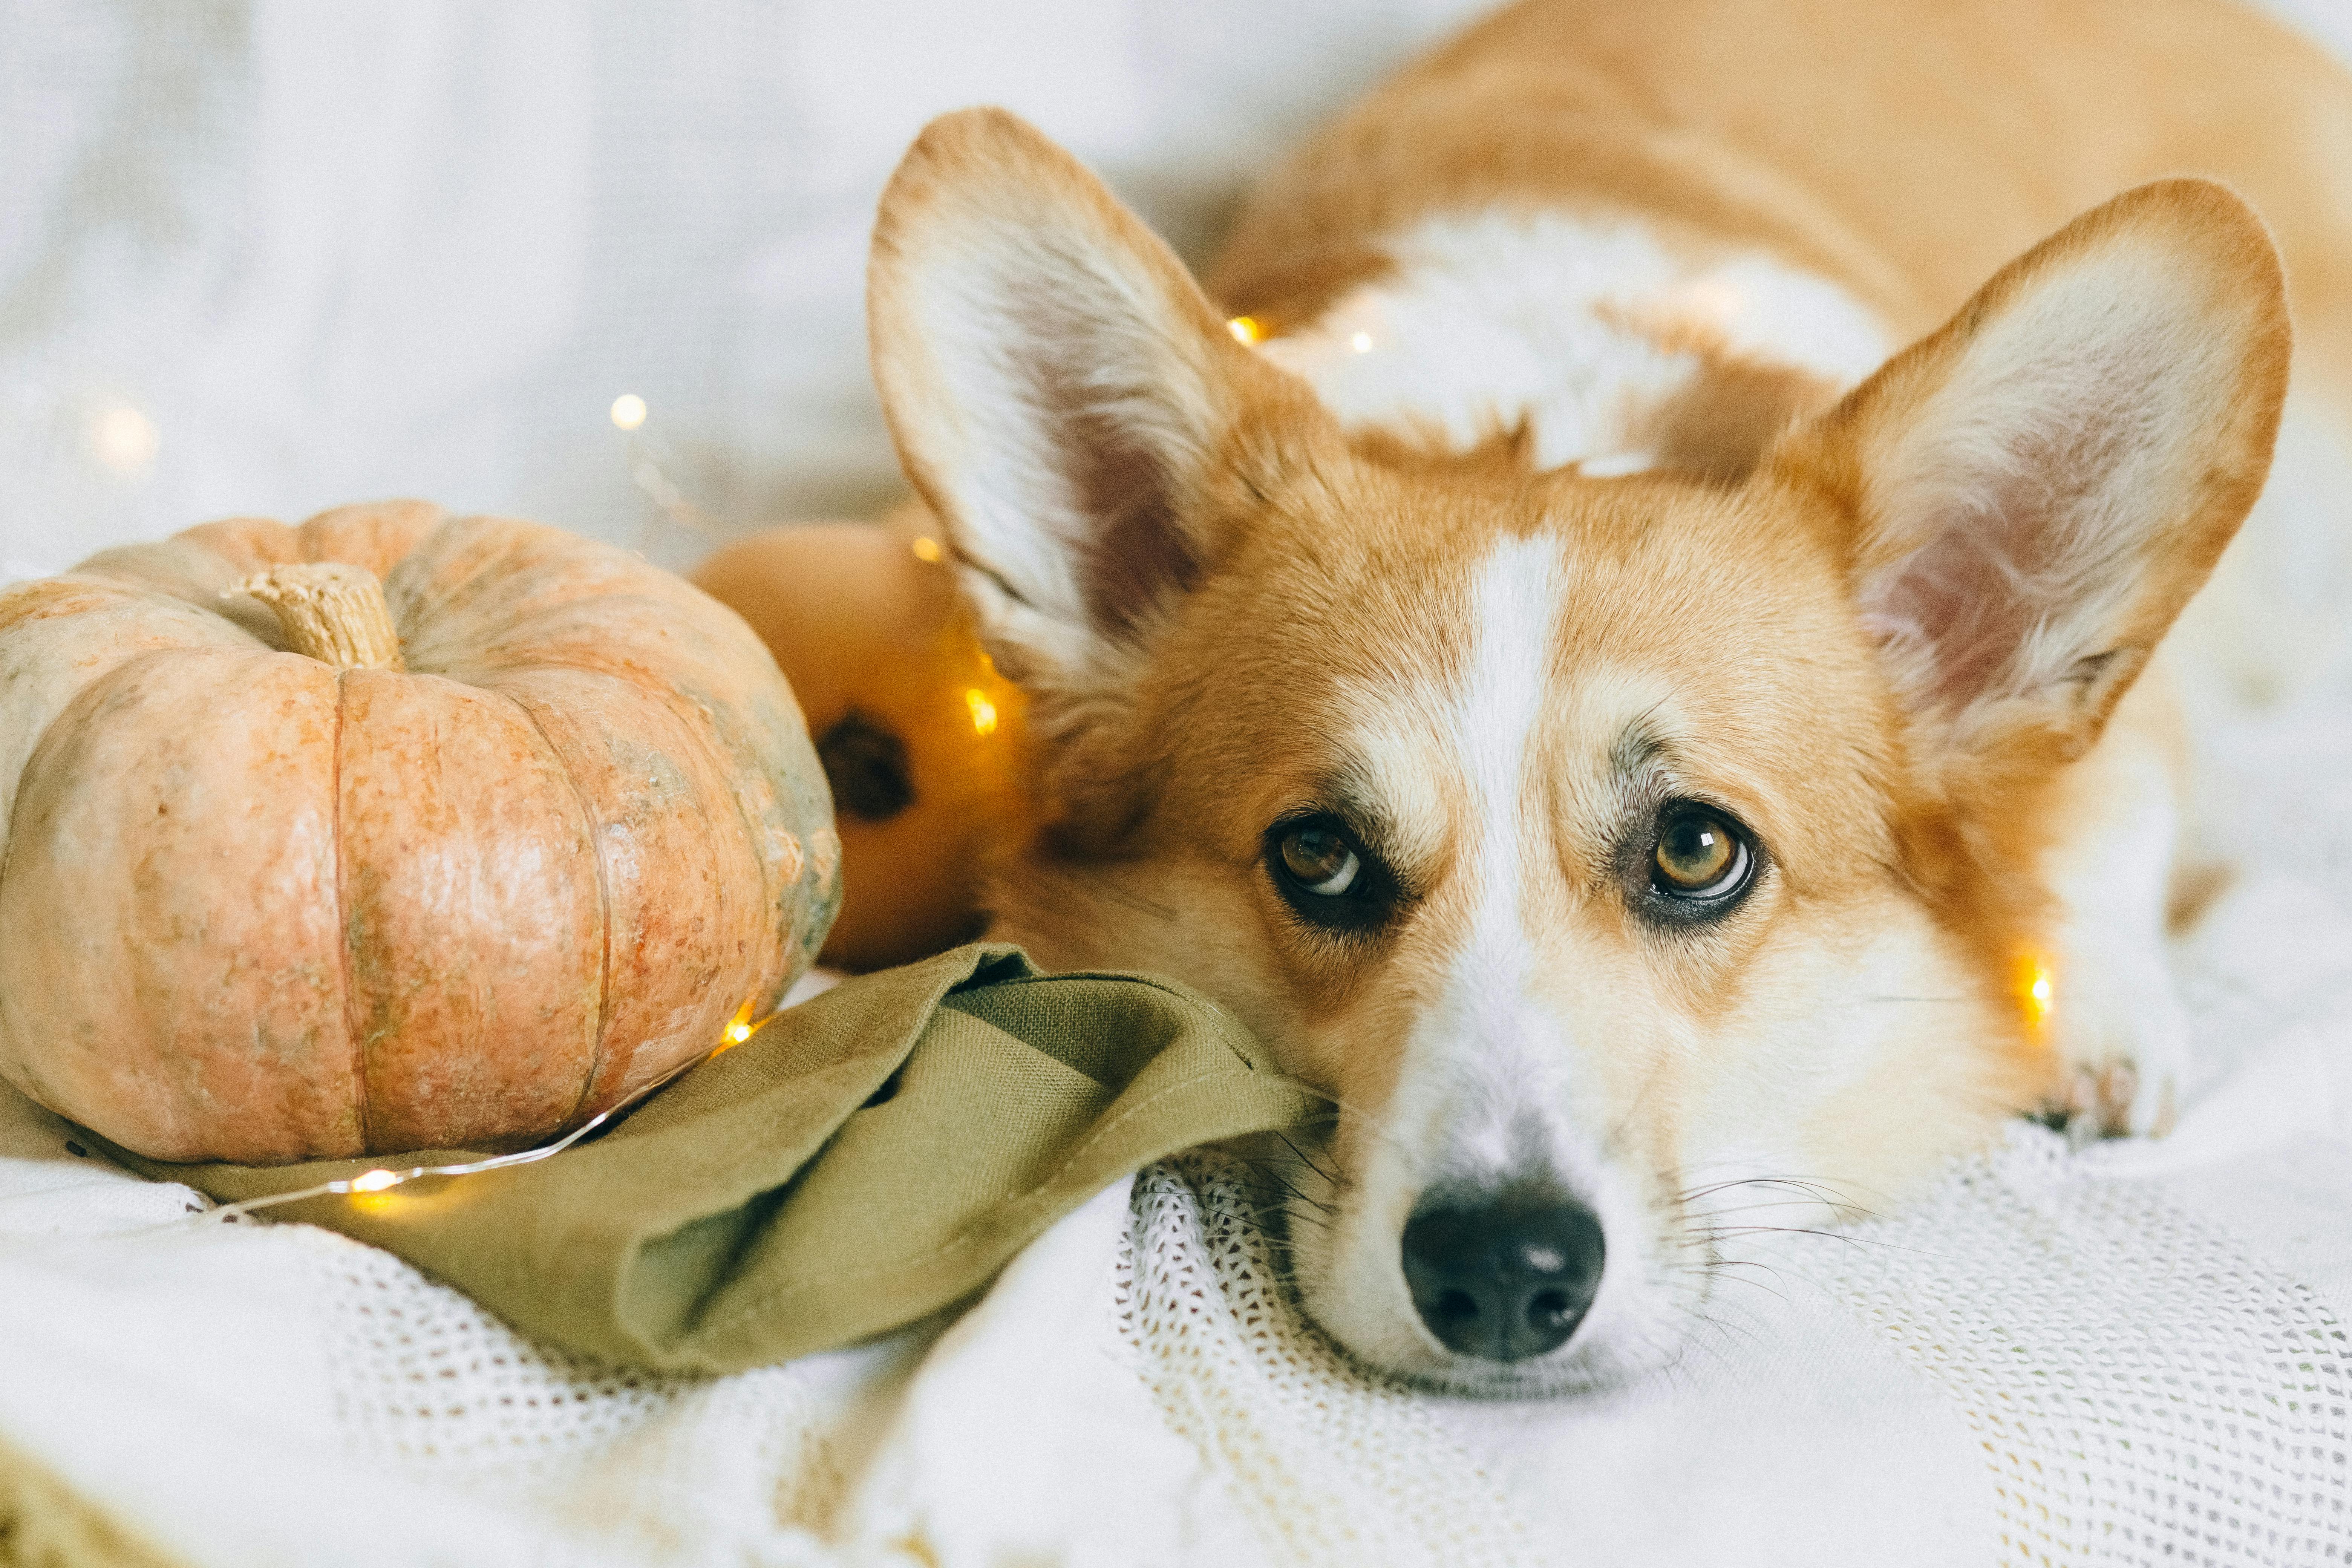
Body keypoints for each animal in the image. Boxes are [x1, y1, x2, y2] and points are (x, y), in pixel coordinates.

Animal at [865, 0, 2352, 1401]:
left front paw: (2103, 1012)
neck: (1550, 416)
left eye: (1696, 850)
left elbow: (2107, 797)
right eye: (1318, 856)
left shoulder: (2132, 703)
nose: (1501, 1277)